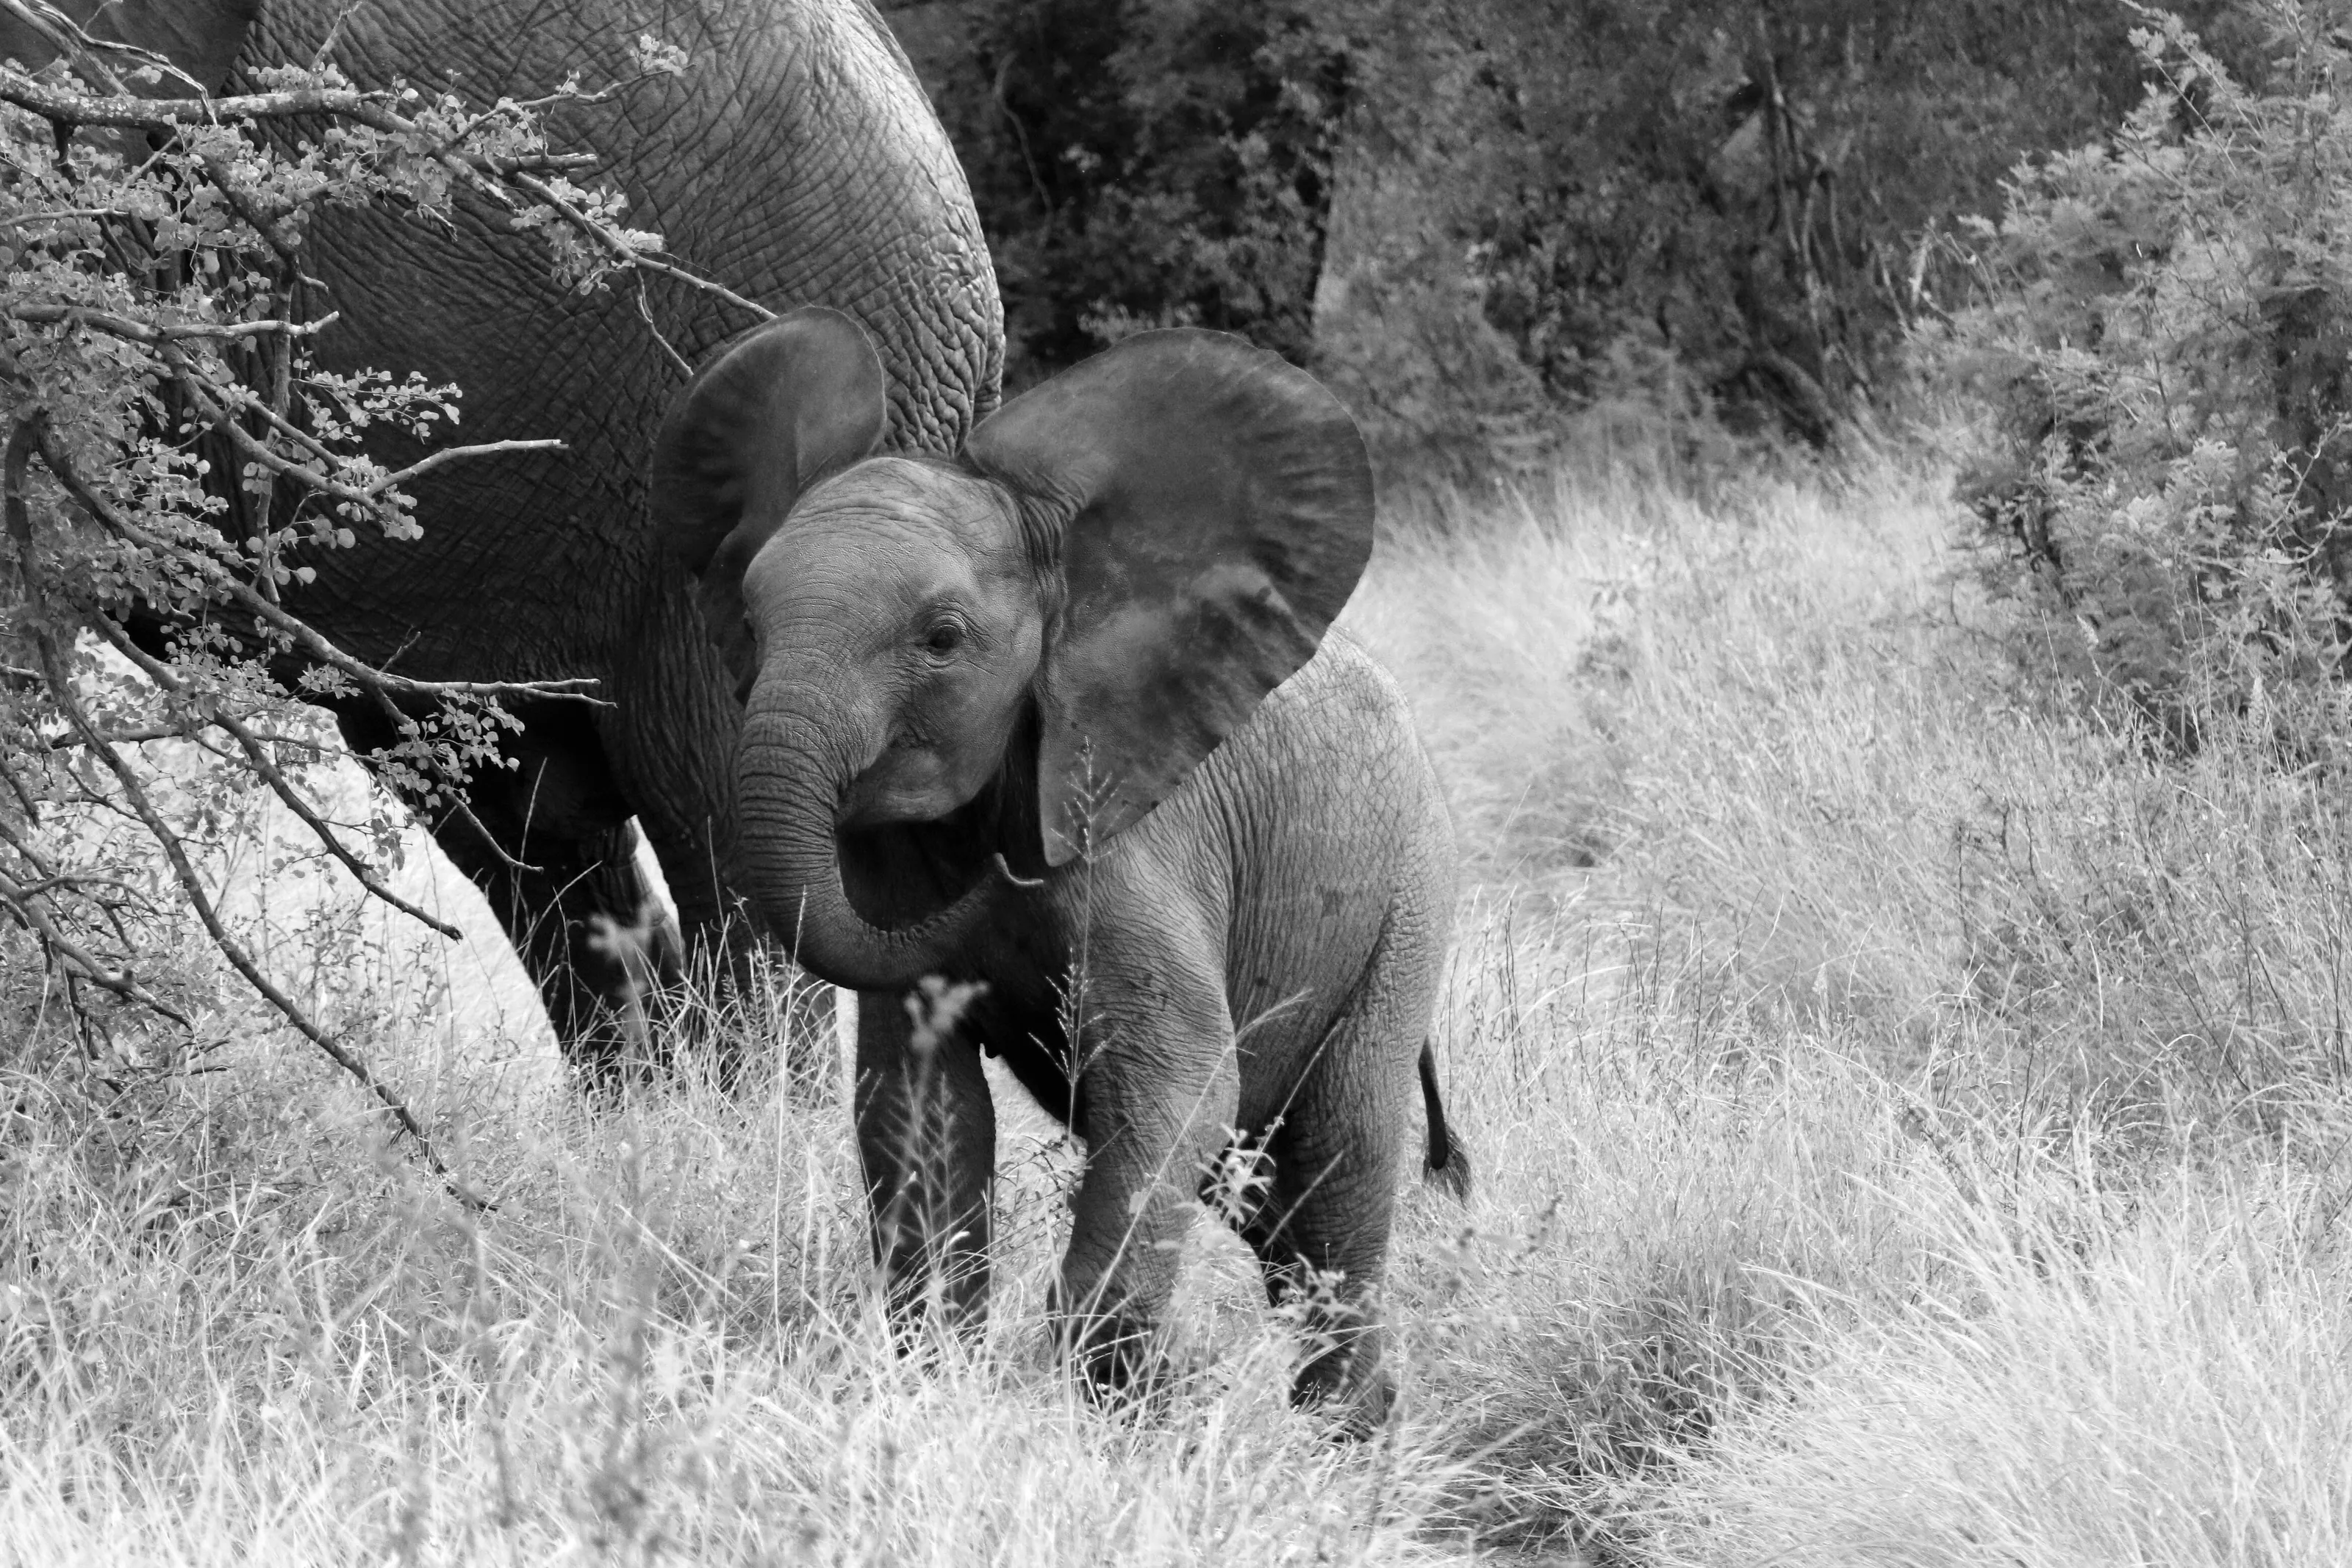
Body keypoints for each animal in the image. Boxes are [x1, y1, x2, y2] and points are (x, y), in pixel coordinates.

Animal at [650, 305, 1467, 1427]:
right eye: (754, 621)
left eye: (942, 638)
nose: (1001, 882)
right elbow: (916, 1105)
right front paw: (942, 1383)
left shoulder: (1131, 837)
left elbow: (1181, 1078)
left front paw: (1158, 1399)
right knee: (1270, 1201)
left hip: (1407, 901)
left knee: (1337, 1155)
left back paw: (1342, 1437)